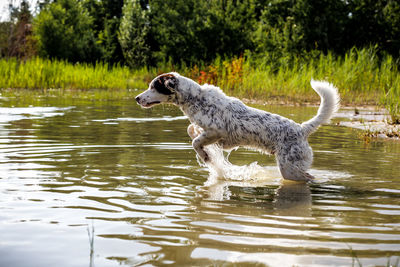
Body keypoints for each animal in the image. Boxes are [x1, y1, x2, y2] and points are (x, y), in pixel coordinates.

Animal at [136, 73, 340, 182]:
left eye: (154, 87)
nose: (137, 98)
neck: (196, 98)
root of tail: (302, 129)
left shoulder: (216, 131)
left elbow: (196, 142)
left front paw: (204, 155)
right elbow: (191, 131)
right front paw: (204, 153)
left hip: (289, 169)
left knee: (308, 177)